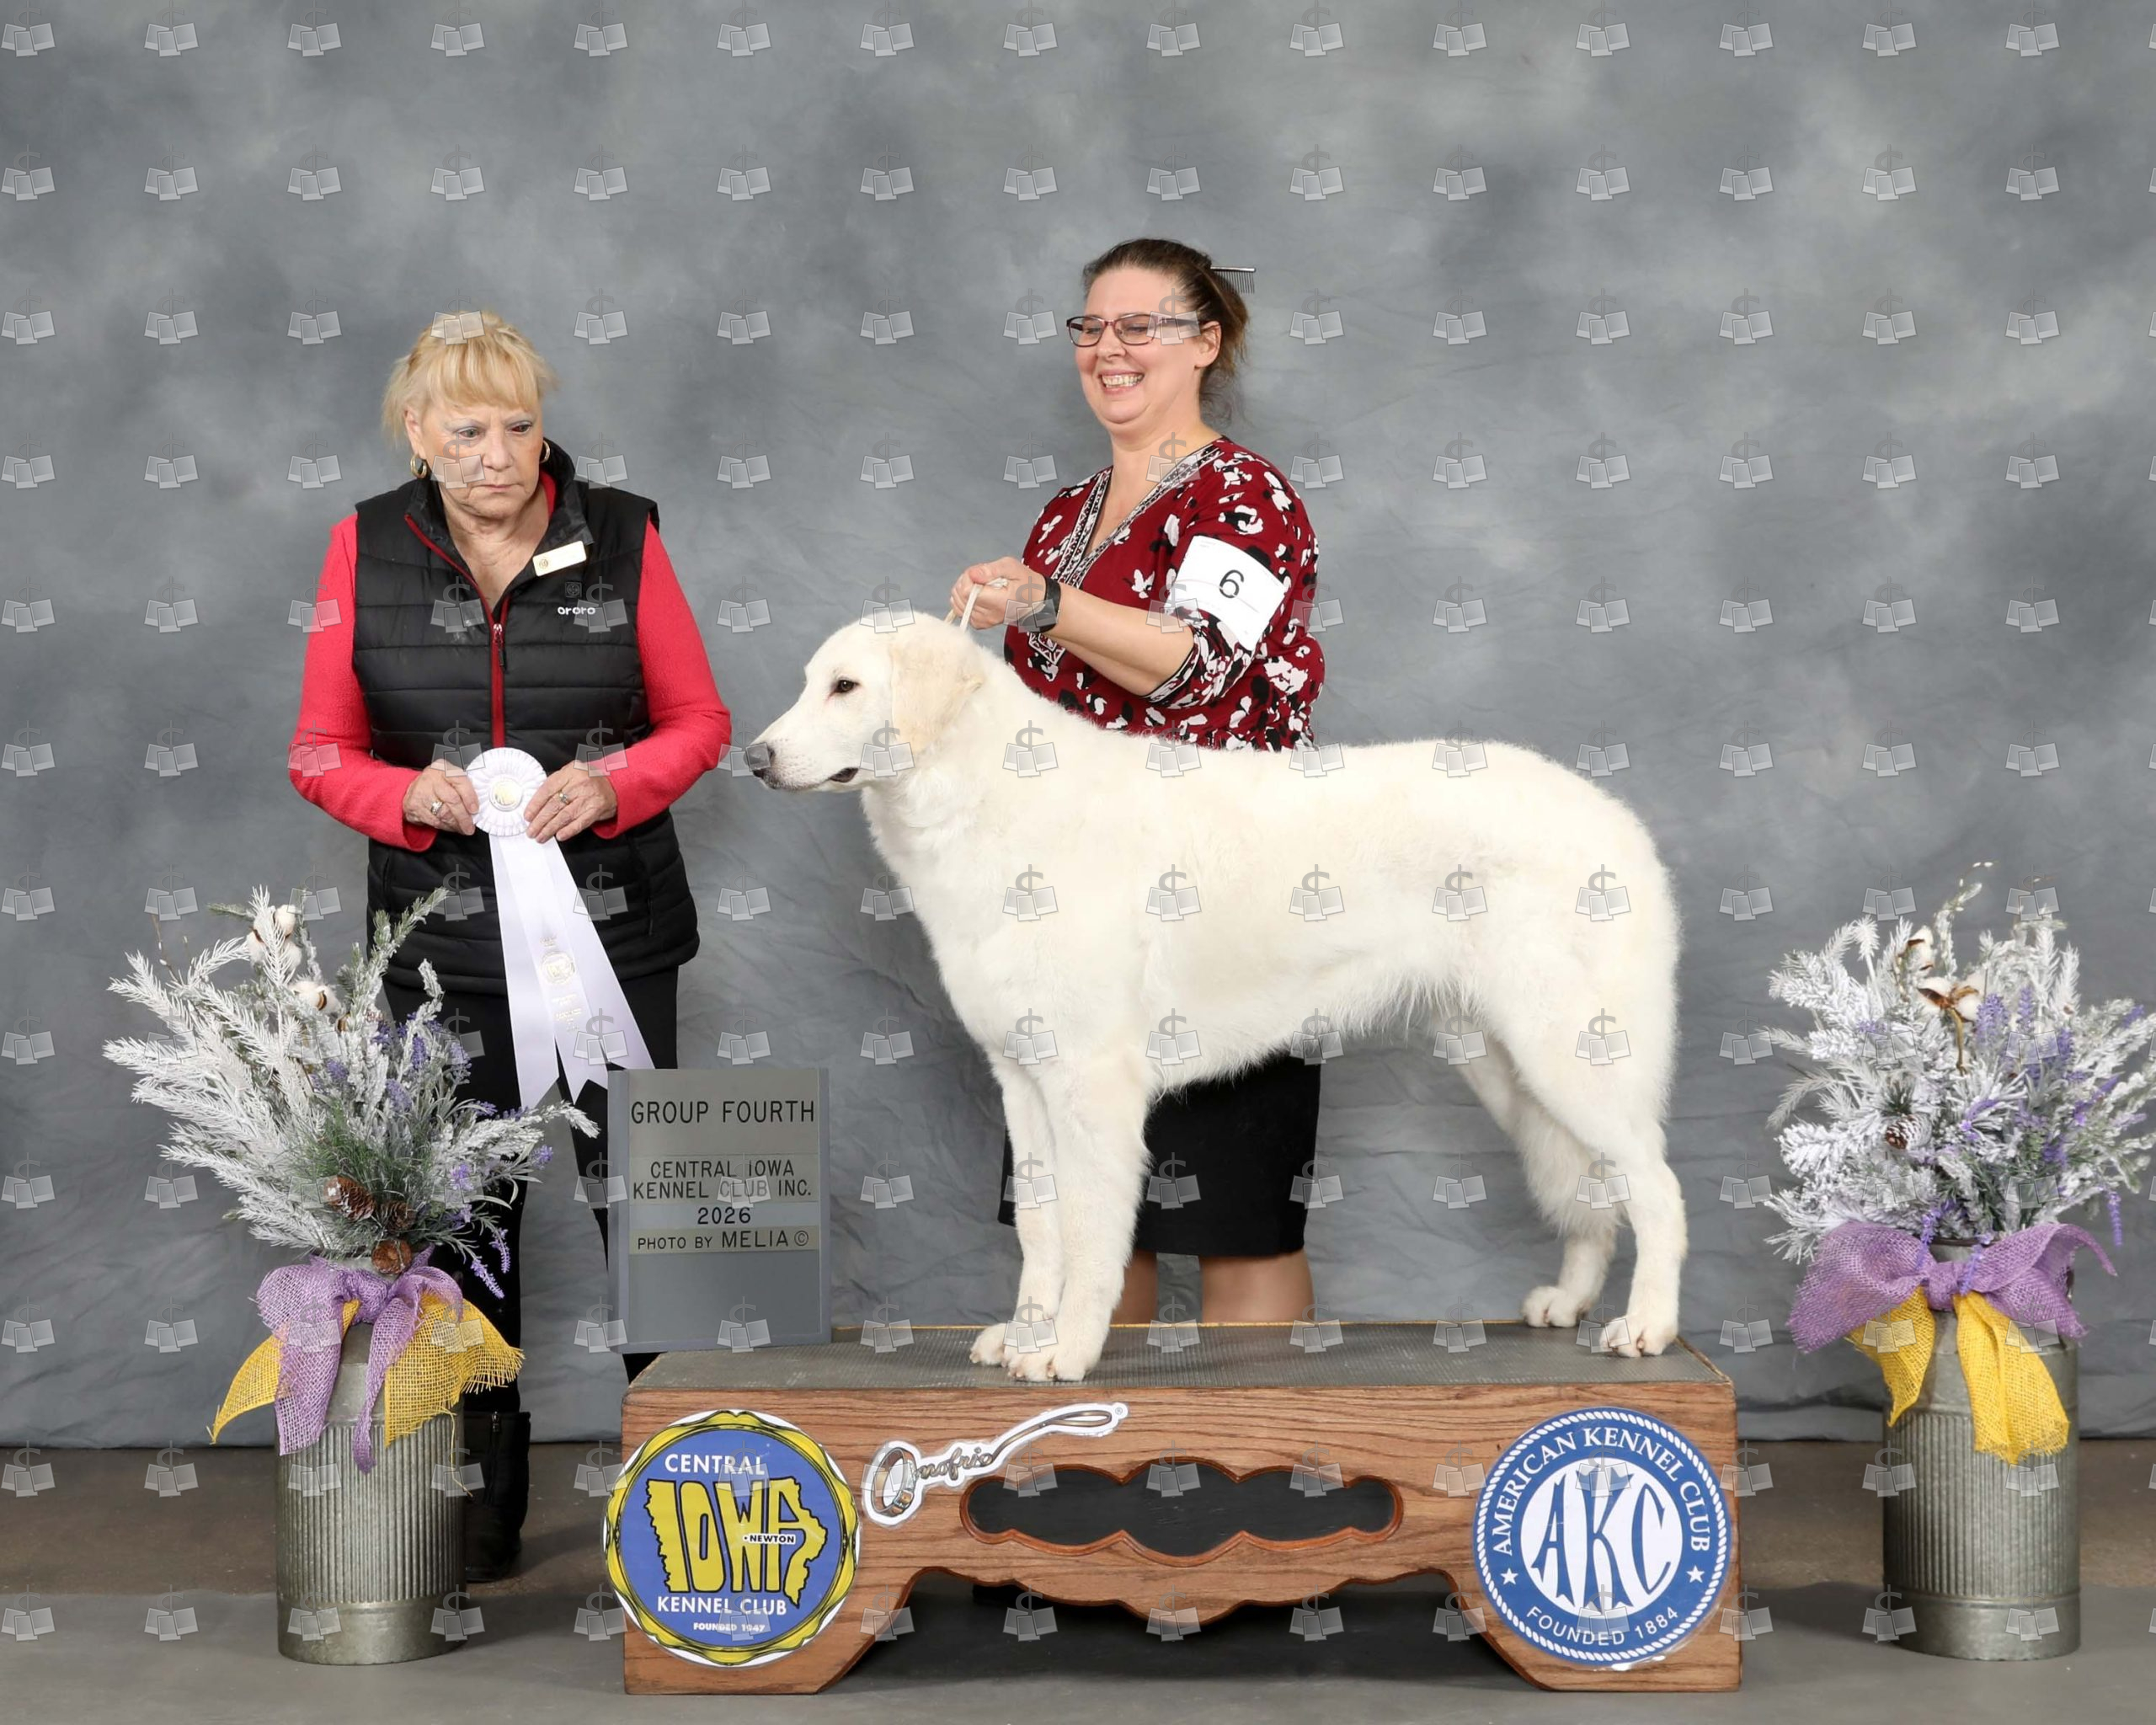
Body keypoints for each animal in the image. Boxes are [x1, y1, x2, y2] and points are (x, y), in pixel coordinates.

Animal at [747, 616, 1685, 1383]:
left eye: (845, 686)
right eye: (806, 681)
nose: (754, 758)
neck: (983, 798)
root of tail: (1619, 820)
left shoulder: (1093, 1083)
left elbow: (1086, 1231)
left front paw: (1064, 1352)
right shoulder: (1023, 1078)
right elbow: (1041, 1230)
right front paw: (1024, 1335)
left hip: (1567, 1050)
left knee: (1655, 1184)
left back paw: (1647, 1326)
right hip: (1507, 1066)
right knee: (1594, 1192)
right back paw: (1568, 1303)